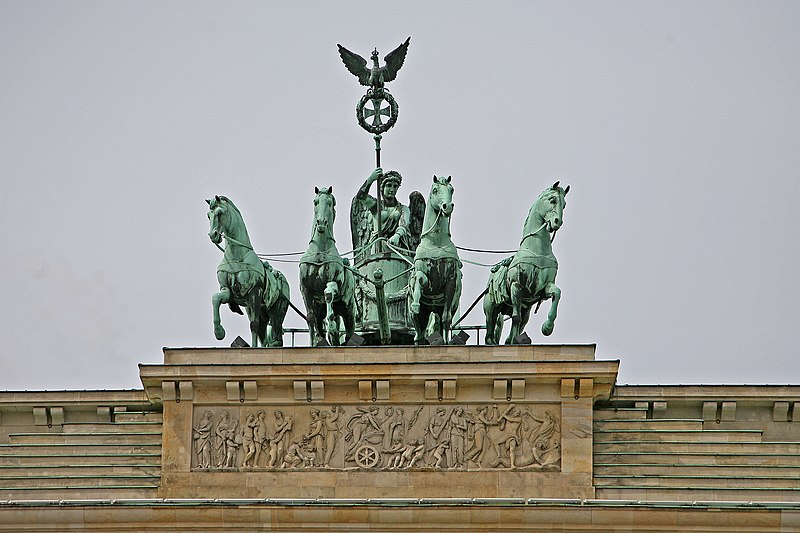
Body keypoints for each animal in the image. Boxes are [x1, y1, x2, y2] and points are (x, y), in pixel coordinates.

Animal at [206, 193, 290, 348]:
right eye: (208, 215)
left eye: (220, 213)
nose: (212, 235)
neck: (237, 256)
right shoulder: (227, 291)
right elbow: (216, 298)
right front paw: (219, 332)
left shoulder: (254, 293)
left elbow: (253, 325)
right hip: (259, 311)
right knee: (263, 333)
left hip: (276, 310)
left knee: (275, 328)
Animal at [300, 186, 356, 344]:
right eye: (316, 202)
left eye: (330, 203)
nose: (321, 223)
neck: (320, 250)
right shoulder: (305, 289)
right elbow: (310, 318)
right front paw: (314, 342)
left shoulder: (332, 280)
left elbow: (329, 294)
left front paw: (331, 329)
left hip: (349, 311)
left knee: (348, 333)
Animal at [406, 177, 462, 342]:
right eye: (435, 190)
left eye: (451, 190)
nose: (447, 206)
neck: (436, 241)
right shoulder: (425, 276)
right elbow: (419, 279)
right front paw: (416, 302)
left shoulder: (451, 281)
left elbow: (446, 318)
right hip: (420, 317)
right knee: (418, 334)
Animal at [482, 181, 568, 342]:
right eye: (552, 200)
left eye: (564, 204)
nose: (557, 222)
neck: (537, 250)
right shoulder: (517, 286)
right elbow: (516, 318)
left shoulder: (543, 288)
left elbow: (557, 293)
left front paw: (547, 327)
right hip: (491, 306)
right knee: (490, 327)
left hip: (526, 308)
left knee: (522, 321)